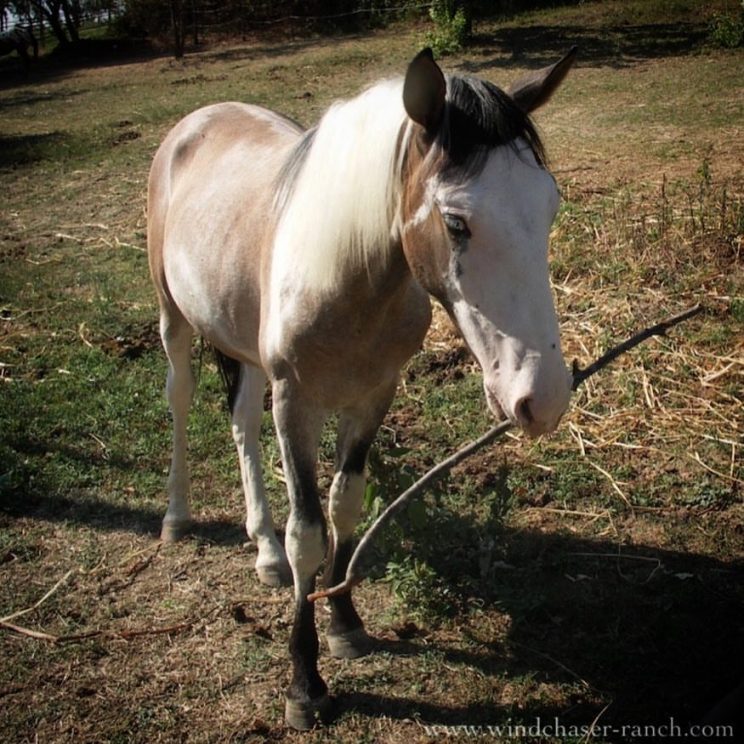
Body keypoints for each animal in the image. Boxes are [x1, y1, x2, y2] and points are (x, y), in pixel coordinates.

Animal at [150, 45, 576, 728]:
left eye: (550, 206)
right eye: (456, 222)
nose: (545, 397)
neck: (345, 281)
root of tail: (197, 121)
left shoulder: (374, 395)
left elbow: (345, 504)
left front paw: (345, 624)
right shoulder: (295, 402)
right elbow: (307, 534)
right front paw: (305, 683)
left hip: (240, 341)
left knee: (241, 421)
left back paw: (262, 550)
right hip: (174, 319)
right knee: (182, 401)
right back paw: (176, 516)